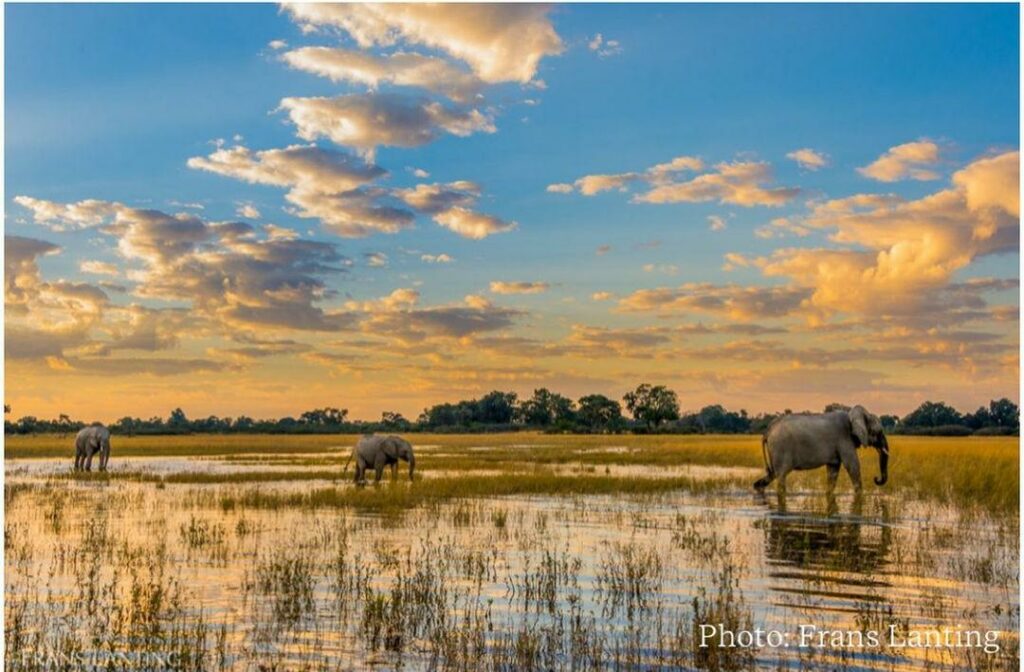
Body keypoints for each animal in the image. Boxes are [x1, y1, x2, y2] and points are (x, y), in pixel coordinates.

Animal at [753, 403, 888, 493]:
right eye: (879, 432)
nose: (876, 478)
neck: (852, 414)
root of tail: (768, 431)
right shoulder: (844, 438)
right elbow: (853, 465)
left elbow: (833, 470)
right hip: (781, 448)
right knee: (780, 477)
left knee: (772, 475)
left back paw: (757, 488)